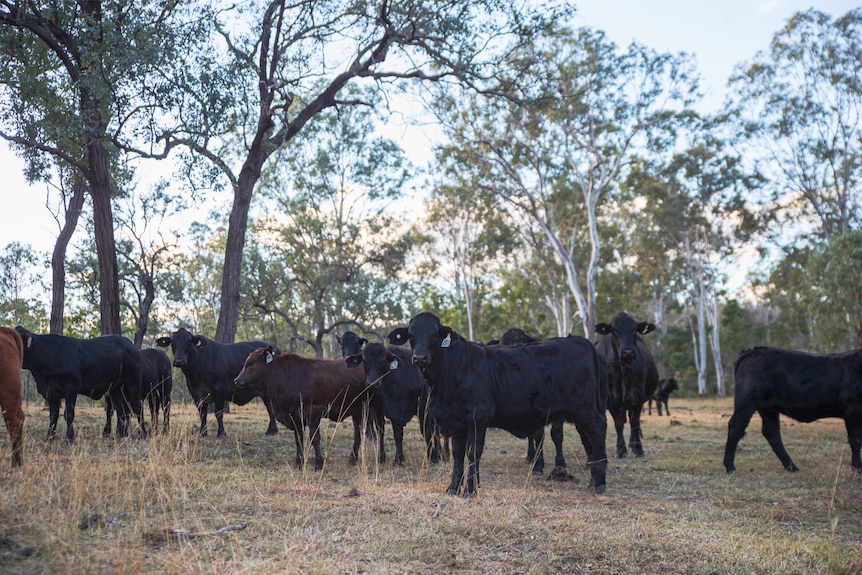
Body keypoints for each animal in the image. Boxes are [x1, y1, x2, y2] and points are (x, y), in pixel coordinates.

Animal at [14, 326, 146, 444]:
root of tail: (130, 345)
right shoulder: (51, 391)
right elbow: (53, 416)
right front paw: (49, 438)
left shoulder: (71, 388)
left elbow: (69, 414)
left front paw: (69, 439)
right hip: (115, 388)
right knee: (122, 409)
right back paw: (121, 435)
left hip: (132, 383)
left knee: (137, 408)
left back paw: (143, 434)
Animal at [392, 312, 608, 498]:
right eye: (411, 335)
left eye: (434, 335)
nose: (419, 358)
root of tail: (578, 340)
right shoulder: (457, 423)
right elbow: (458, 456)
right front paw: (453, 488)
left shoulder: (478, 417)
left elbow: (472, 453)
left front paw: (470, 490)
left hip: (584, 408)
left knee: (598, 430)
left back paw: (598, 482)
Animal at [596, 310, 660, 460]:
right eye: (614, 330)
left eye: (634, 330)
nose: (628, 352)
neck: (623, 371)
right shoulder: (611, 400)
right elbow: (619, 424)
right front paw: (620, 450)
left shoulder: (638, 398)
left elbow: (635, 423)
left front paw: (637, 449)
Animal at [724, 346, 860, 476]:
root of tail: (751, 351)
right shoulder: (853, 409)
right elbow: (856, 439)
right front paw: (858, 468)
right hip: (746, 404)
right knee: (736, 427)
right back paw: (730, 467)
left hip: (768, 408)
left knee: (771, 432)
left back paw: (792, 467)